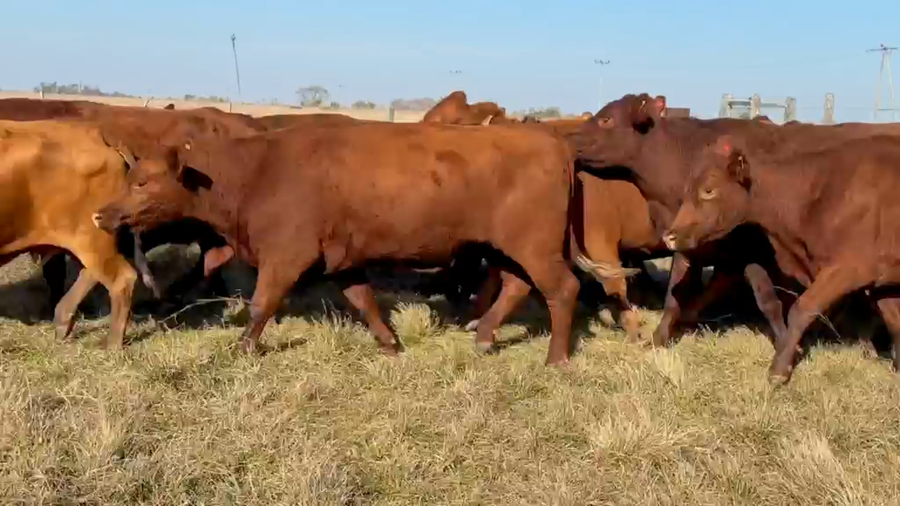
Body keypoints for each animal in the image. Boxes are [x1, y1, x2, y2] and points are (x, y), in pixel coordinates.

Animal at [0, 119, 137, 347]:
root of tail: (97, 135)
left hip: (90, 237)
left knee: (122, 279)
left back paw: (112, 345)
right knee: (90, 273)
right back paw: (63, 321)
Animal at [93, 122, 585, 364]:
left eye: (142, 182)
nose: (101, 214)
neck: (255, 171)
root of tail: (553, 142)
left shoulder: (286, 255)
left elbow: (261, 304)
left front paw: (243, 349)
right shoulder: (343, 260)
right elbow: (365, 303)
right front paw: (390, 345)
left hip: (534, 247)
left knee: (563, 290)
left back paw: (556, 359)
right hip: (508, 248)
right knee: (517, 286)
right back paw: (484, 337)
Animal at [662, 134, 900, 383]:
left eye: (708, 190)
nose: (669, 236)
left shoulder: (848, 269)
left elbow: (802, 308)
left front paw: (779, 371)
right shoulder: (882, 282)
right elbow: (896, 322)